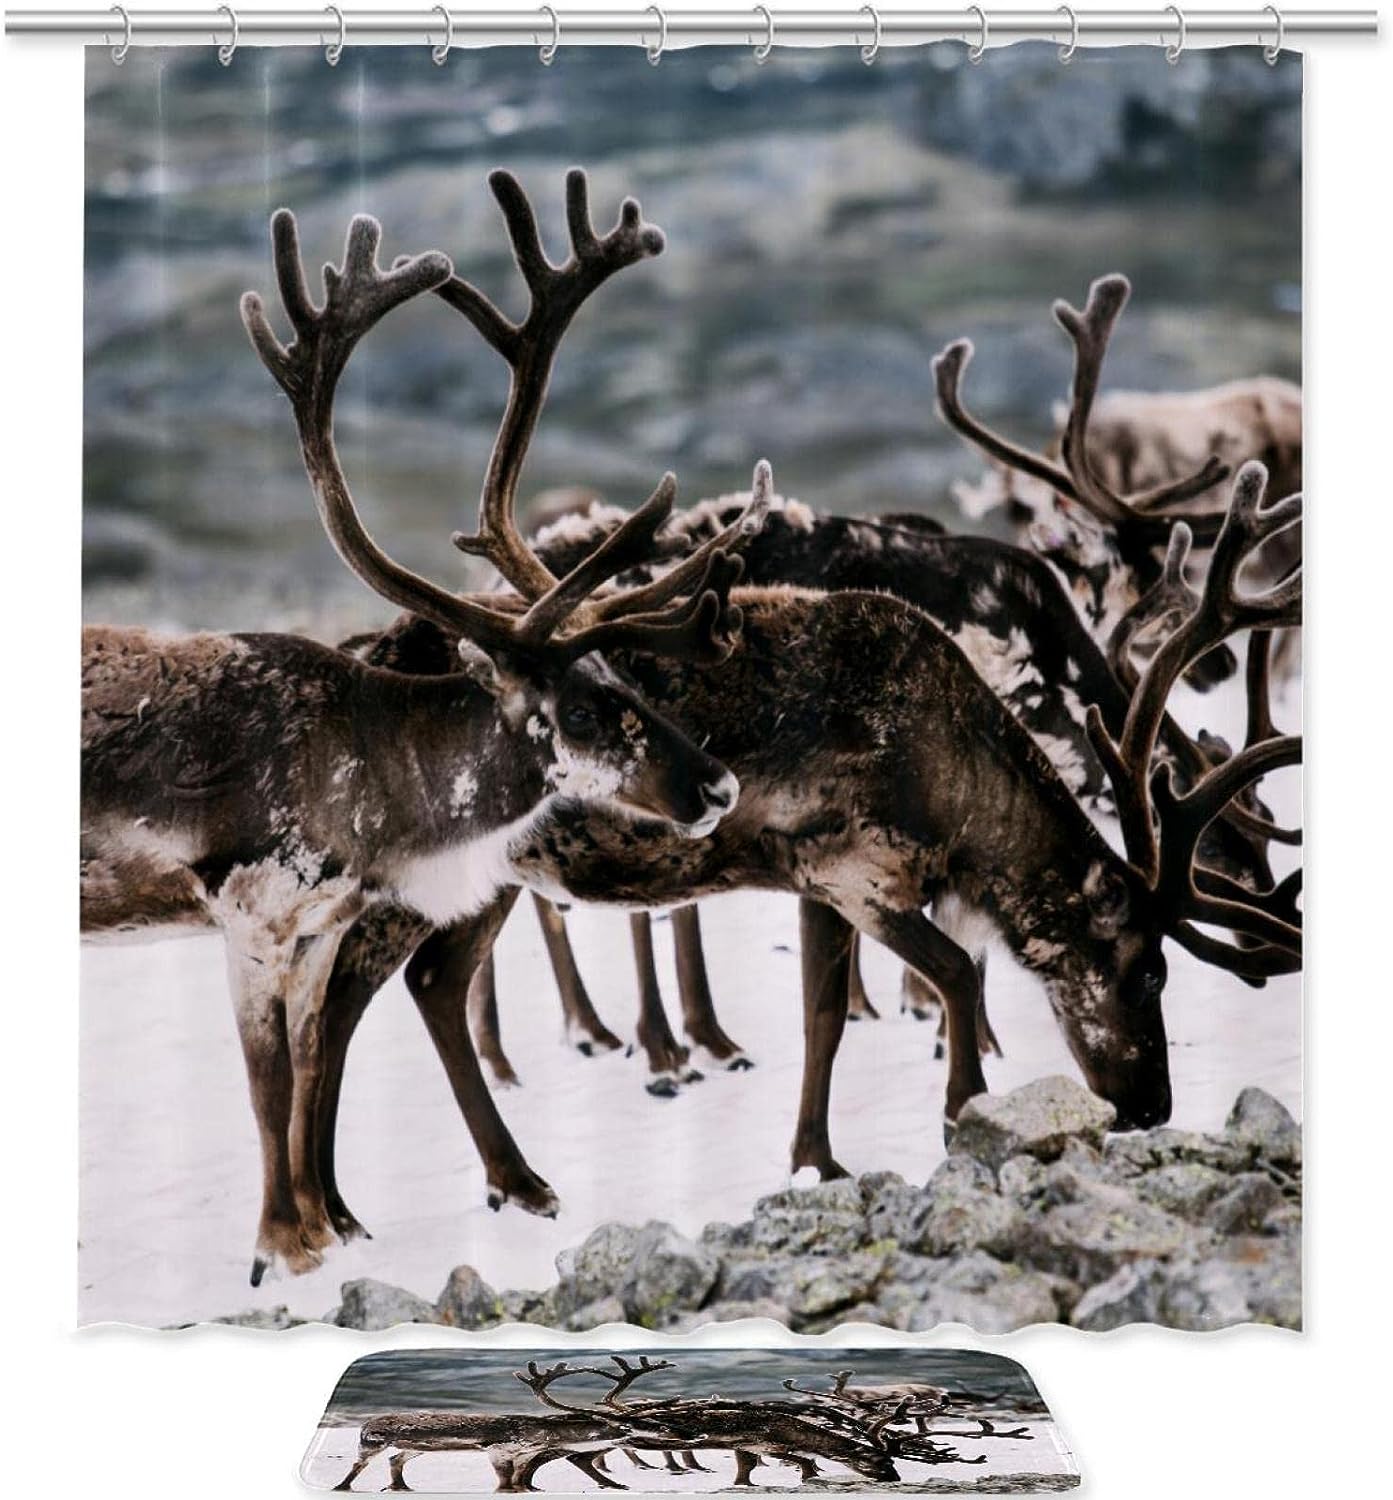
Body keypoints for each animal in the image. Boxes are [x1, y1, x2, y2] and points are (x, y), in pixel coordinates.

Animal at [81, 183, 767, 1284]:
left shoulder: (319, 927)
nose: (717, 786)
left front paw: (321, 1230)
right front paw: (285, 1250)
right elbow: (266, 1084)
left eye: (625, 673)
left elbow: (307, 1063)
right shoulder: (252, 916)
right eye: (581, 705)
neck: (375, 772)